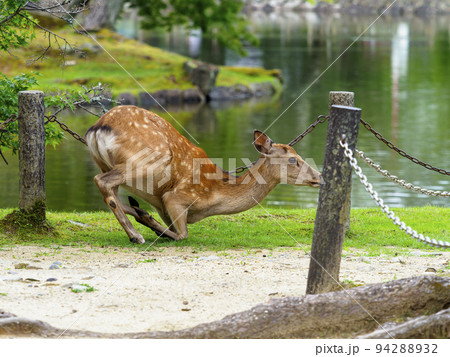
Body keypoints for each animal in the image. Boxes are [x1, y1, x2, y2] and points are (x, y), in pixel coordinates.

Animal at [85, 105, 320, 242]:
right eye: (294, 159)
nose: (318, 176)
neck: (214, 196)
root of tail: (97, 128)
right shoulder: (175, 197)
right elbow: (183, 235)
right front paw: (154, 226)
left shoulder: (163, 204)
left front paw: (145, 215)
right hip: (144, 161)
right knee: (102, 182)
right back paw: (136, 235)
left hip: (104, 162)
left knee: (110, 191)